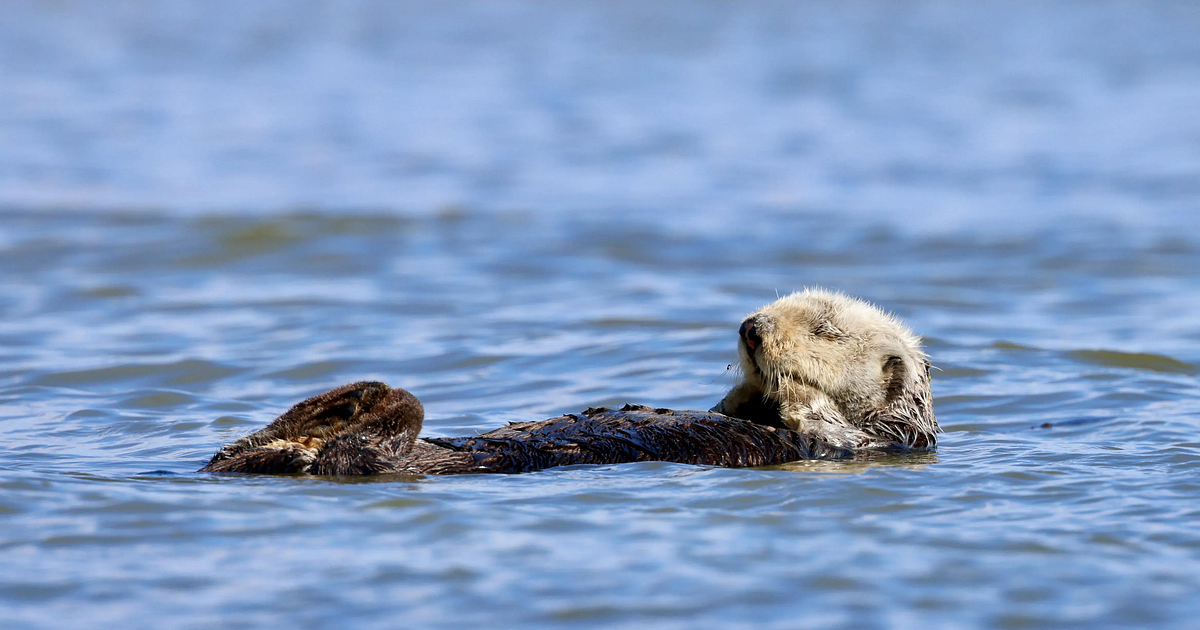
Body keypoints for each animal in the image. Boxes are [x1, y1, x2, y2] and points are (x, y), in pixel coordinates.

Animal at [200, 289, 937, 475]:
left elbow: (818, 423)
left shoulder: (861, 439)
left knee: (359, 451)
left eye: (827, 330)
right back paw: (341, 404)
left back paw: (366, 400)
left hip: (380, 454)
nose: (751, 327)